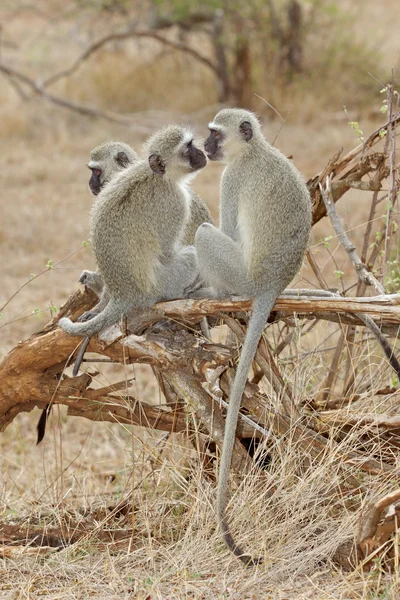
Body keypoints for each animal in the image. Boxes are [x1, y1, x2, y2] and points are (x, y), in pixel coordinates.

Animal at [60, 125, 209, 338]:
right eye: (188, 147)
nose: (201, 152)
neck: (156, 174)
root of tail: (125, 294)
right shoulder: (177, 201)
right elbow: (167, 253)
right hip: (161, 285)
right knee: (190, 255)